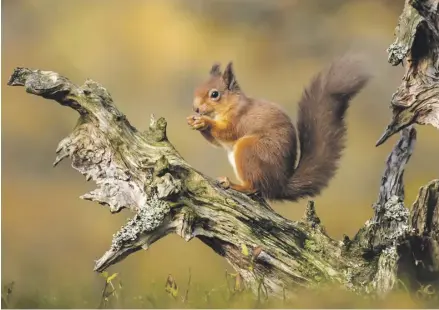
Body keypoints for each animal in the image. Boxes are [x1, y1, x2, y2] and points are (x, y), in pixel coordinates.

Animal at [186, 55, 372, 201]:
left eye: (214, 94)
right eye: (196, 89)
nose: (196, 108)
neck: (231, 105)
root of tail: (279, 185)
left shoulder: (239, 120)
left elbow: (228, 132)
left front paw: (204, 122)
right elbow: (217, 142)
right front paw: (194, 121)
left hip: (249, 150)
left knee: (254, 186)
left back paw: (234, 184)